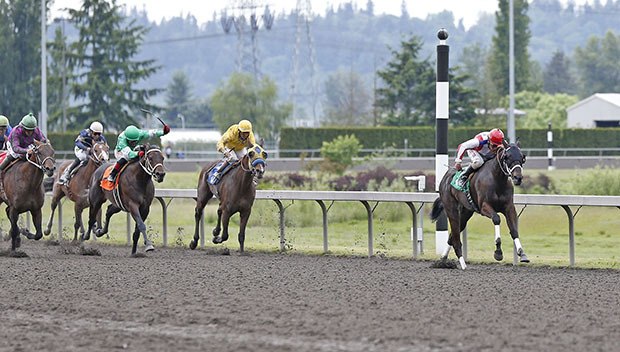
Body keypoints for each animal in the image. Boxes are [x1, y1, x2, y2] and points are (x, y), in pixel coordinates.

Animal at [432, 140, 528, 270]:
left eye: (522, 157)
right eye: (507, 157)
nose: (518, 178)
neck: (497, 180)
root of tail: (445, 178)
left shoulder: (509, 208)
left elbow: (514, 230)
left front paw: (522, 253)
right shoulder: (484, 207)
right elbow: (496, 218)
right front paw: (498, 252)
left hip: (465, 213)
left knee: (452, 236)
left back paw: (443, 260)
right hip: (451, 210)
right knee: (456, 238)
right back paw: (463, 264)